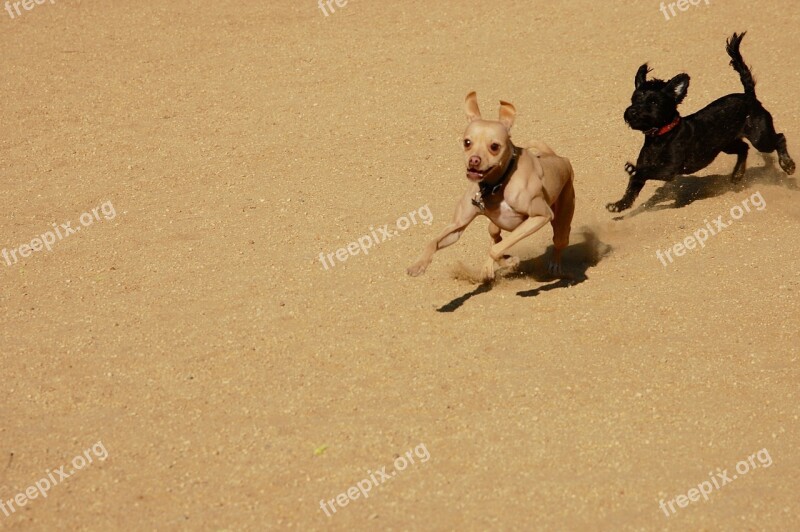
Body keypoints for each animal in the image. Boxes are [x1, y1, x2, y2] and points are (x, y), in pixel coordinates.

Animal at [406, 91, 576, 282]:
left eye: (494, 146)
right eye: (467, 142)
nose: (474, 160)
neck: (498, 185)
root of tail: (557, 157)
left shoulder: (541, 216)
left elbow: (496, 250)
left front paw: (510, 261)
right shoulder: (458, 225)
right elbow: (433, 241)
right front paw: (418, 265)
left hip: (561, 220)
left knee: (558, 242)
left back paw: (555, 266)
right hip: (493, 226)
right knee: (496, 237)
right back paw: (488, 269)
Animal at [608, 31, 796, 212]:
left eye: (654, 102)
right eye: (635, 99)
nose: (632, 111)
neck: (661, 136)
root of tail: (749, 96)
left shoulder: (669, 168)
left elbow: (644, 172)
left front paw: (632, 170)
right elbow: (632, 189)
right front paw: (618, 205)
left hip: (759, 137)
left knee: (779, 138)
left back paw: (788, 165)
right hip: (725, 143)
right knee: (744, 148)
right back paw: (737, 175)